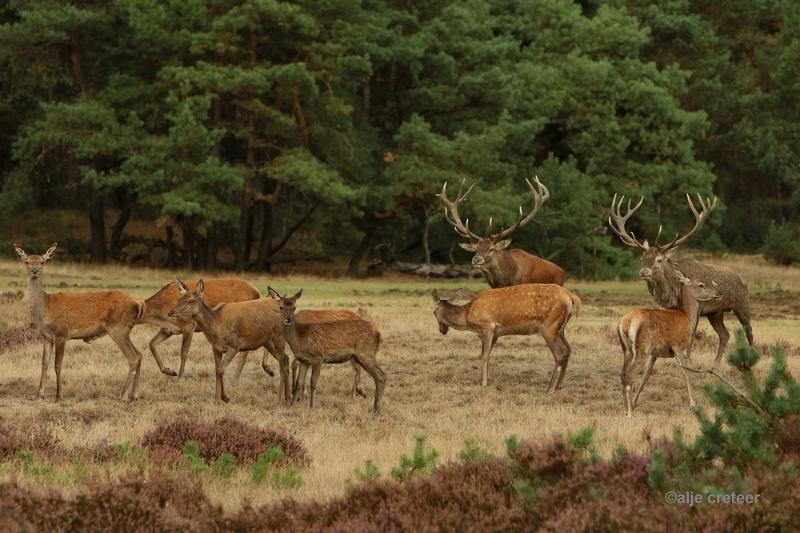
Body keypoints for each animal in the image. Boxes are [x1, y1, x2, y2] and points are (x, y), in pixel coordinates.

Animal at [12, 243, 147, 402]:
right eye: (27, 261)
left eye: (42, 261)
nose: (34, 271)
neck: (45, 310)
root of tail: (138, 302)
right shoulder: (46, 337)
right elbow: (44, 363)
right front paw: (39, 395)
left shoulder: (62, 333)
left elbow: (58, 365)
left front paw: (58, 395)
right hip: (124, 330)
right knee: (139, 355)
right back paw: (134, 395)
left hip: (119, 328)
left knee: (133, 357)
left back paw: (123, 395)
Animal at [268, 286, 386, 416]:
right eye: (281, 307)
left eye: (294, 307)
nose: (288, 319)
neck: (300, 338)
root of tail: (378, 331)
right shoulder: (304, 360)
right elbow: (299, 382)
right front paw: (292, 405)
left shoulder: (318, 357)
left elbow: (313, 382)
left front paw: (312, 406)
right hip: (360, 356)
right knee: (376, 376)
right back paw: (374, 407)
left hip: (366, 352)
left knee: (381, 375)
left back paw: (377, 409)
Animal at [432, 282, 580, 390]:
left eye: (433, 313)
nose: (441, 330)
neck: (467, 316)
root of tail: (571, 297)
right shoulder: (495, 334)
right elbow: (488, 355)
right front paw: (486, 380)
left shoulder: (487, 326)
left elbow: (484, 355)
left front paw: (483, 383)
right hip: (560, 329)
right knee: (567, 349)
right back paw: (559, 386)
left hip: (549, 326)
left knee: (559, 353)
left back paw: (550, 388)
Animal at [608, 193, 752, 368]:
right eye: (642, 259)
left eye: (659, 260)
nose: (644, 272)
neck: (675, 290)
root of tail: (743, 279)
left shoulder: (696, 304)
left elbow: (692, 330)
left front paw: (688, 359)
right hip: (715, 312)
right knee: (725, 334)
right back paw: (715, 365)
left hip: (742, 303)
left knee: (748, 331)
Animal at [620, 274, 724, 416]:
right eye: (701, 284)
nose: (718, 293)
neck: (688, 317)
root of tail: (624, 322)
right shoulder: (678, 347)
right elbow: (686, 373)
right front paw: (693, 405)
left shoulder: (655, 353)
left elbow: (646, 376)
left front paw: (635, 403)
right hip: (642, 348)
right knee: (629, 374)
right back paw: (629, 412)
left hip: (627, 349)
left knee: (623, 373)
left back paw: (626, 408)